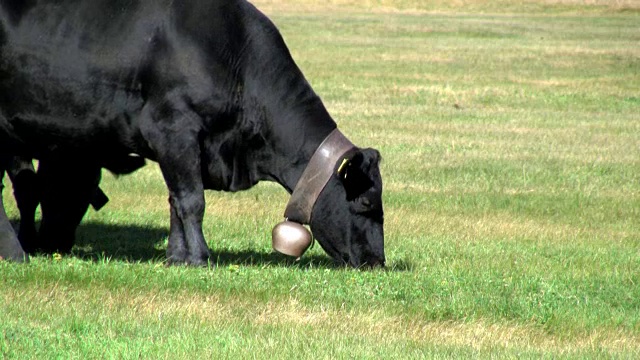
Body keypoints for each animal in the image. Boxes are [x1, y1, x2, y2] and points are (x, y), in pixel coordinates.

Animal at [0, 0, 384, 264]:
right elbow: (191, 200)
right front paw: (200, 256)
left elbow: (175, 200)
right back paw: (17, 253)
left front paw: (176, 257)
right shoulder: (173, 129)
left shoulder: (187, 148)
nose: (376, 261)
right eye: (367, 203)